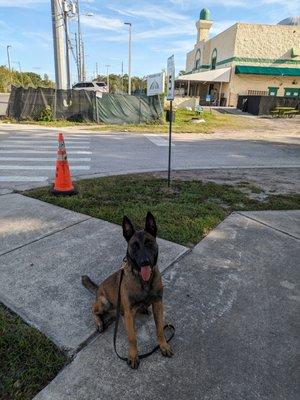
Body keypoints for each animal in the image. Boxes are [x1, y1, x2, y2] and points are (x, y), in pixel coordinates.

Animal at [82, 212, 173, 368]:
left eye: (149, 243)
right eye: (134, 246)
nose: (144, 262)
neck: (143, 281)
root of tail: (99, 288)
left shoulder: (157, 304)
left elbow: (160, 329)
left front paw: (163, 345)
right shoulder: (129, 314)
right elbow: (132, 338)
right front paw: (133, 356)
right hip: (104, 301)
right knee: (93, 310)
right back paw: (99, 322)